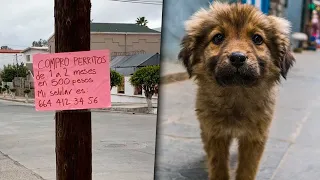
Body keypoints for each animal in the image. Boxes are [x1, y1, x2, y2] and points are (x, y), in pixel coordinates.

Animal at [178, 1, 296, 180]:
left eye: (257, 38)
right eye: (218, 37)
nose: (238, 58)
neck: (236, 93)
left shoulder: (255, 136)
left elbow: (247, 168)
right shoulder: (214, 133)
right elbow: (218, 166)